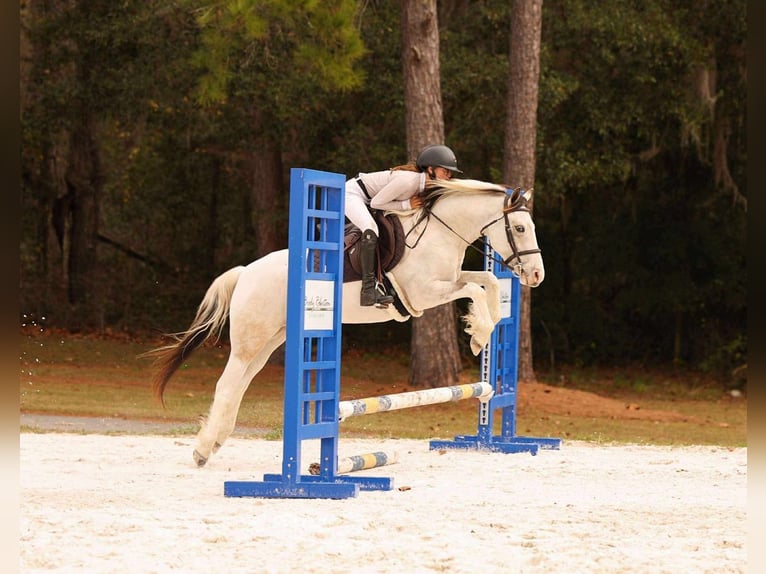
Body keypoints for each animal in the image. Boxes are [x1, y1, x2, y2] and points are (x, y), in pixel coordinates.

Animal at [147, 178, 545, 467]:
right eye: (520, 228)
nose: (537, 275)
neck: (440, 232)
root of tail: (246, 272)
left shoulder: (449, 281)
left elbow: (487, 281)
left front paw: (482, 330)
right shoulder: (424, 294)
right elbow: (476, 289)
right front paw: (478, 334)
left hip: (270, 341)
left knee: (240, 384)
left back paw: (213, 442)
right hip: (250, 341)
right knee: (227, 384)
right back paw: (202, 450)